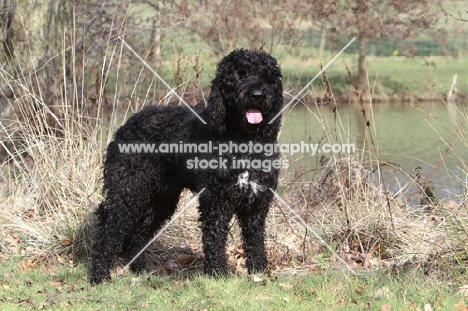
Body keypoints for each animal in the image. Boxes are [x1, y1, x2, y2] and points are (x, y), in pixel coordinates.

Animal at [89, 49, 284, 286]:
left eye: (267, 76)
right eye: (240, 74)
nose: (257, 95)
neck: (244, 140)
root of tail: (126, 125)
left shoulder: (257, 203)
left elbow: (255, 240)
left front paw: (259, 272)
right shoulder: (216, 200)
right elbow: (214, 239)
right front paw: (218, 274)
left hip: (161, 200)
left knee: (137, 236)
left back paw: (140, 269)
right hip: (129, 192)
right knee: (110, 232)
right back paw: (99, 275)